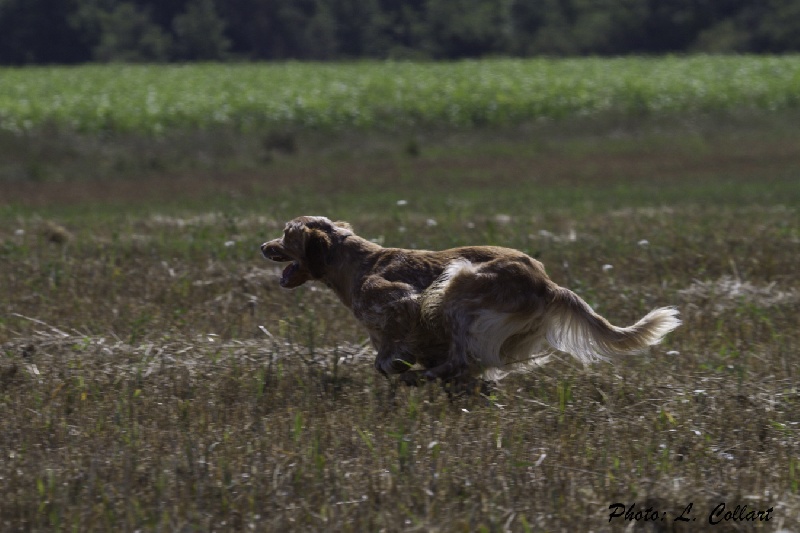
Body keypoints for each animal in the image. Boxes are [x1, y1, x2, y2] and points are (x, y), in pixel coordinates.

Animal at [262, 214, 680, 384]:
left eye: (285, 233)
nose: (262, 246)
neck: (356, 264)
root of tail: (548, 285)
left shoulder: (403, 301)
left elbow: (391, 352)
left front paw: (404, 367)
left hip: (458, 284)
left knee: (460, 360)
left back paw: (423, 377)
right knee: (467, 365)